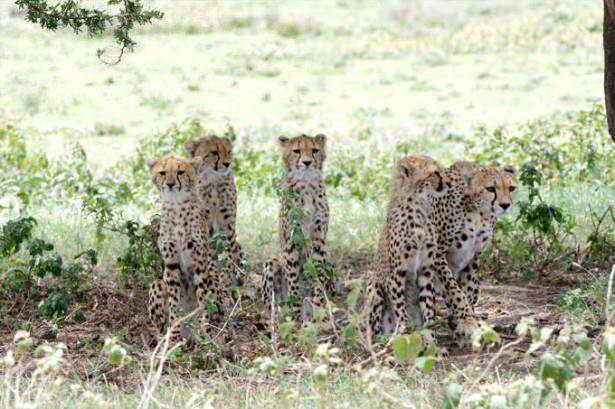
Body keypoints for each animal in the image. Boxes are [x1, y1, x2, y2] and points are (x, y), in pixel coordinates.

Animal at [147, 156, 231, 342]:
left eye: (180, 172)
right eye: (162, 172)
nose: (170, 184)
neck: (177, 205)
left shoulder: (199, 262)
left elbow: (202, 298)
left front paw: (204, 331)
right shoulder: (171, 264)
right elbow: (174, 303)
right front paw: (174, 336)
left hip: (213, 277)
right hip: (157, 283)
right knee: (158, 326)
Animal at [185, 134, 245, 286]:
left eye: (229, 152)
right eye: (214, 152)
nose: (227, 164)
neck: (212, 180)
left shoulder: (227, 224)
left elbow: (228, 253)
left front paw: (226, 277)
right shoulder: (204, 226)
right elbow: (209, 255)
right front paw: (214, 275)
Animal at [264, 134, 334, 318]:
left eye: (315, 150)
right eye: (296, 151)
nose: (307, 162)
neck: (306, 184)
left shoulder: (318, 239)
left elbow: (318, 274)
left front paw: (318, 307)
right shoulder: (292, 240)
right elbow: (293, 277)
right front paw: (294, 308)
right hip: (271, 262)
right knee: (270, 305)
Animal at [366, 155, 476, 338]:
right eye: (435, 173)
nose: (448, 183)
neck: (418, 206)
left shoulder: (426, 269)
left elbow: (428, 303)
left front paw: (430, 331)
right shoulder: (397, 272)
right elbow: (399, 304)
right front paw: (405, 330)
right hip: (372, 282)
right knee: (373, 331)